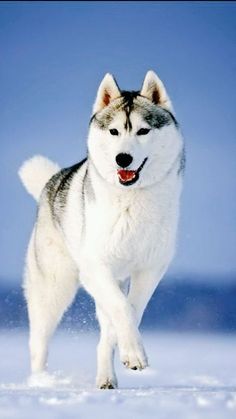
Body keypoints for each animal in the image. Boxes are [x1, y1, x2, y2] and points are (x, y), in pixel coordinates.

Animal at [18, 71, 184, 390]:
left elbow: (130, 310)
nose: (123, 158)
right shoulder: (96, 267)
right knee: (38, 343)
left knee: (105, 329)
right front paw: (134, 353)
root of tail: (51, 182)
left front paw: (129, 352)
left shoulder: (150, 269)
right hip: (53, 288)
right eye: (114, 132)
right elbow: (122, 309)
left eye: (143, 131)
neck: (132, 200)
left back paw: (106, 378)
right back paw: (40, 382)